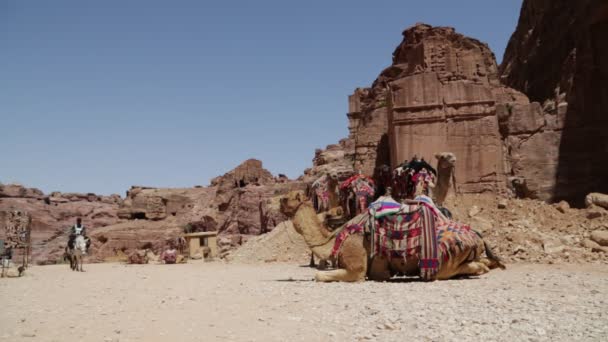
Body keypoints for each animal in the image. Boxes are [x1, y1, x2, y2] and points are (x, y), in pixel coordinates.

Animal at [280, 191, 504, 282]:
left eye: (284, 198)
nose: (275, 203)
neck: (334, 240)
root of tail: (476, 235)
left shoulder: (356, 268)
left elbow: (319, 275)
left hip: (442, 261)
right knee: (483, 263)